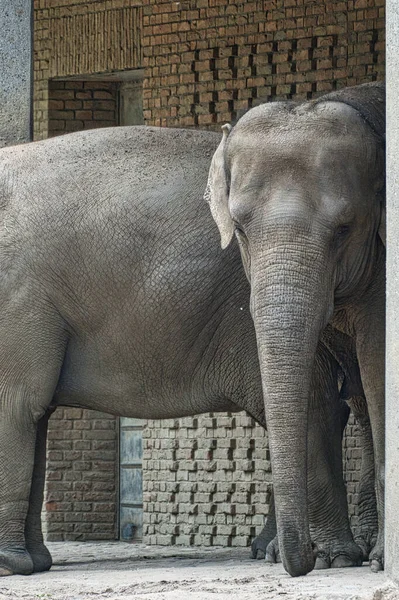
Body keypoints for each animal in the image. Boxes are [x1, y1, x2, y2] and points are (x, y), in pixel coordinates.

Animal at [0, 125, 372, 576]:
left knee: (317, 410)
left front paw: (10, 566)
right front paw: (34, 564)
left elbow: (16, 406)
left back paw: (330, 557)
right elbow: (34, 415)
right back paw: (275, 550)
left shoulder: (16, 297)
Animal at [206, 81, 384, 576]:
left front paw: (373, 560)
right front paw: (332, 558)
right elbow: (317, 387)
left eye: (344, 228)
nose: (299, 559)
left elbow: (379, 363)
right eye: (240, 229)